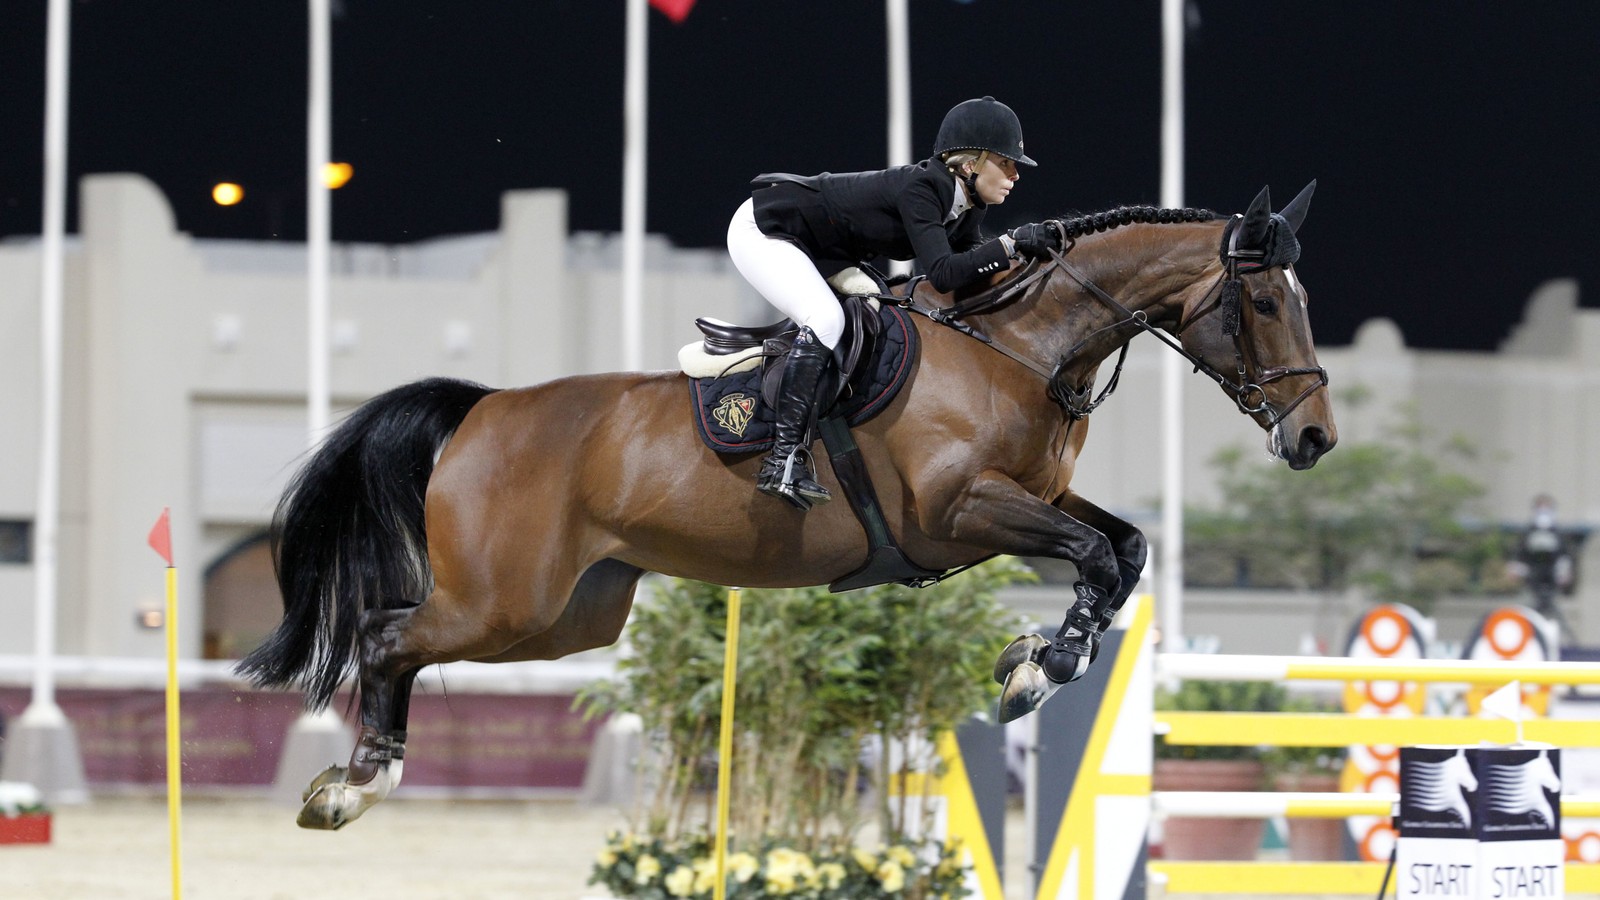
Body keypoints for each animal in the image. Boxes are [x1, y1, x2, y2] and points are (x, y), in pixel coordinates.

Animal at [240, 182, 1337, 826]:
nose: (1315, 440)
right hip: (503, 601)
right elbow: (1098, 556)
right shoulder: (960, 511)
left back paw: (360, 778)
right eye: (1266, 301)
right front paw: (1041, 669)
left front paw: (1035, 658)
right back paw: (356, 781)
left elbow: (1125, 549)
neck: (1019, 345)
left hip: (565, 619)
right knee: (385, 636)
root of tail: (481, 409)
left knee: (408, 640)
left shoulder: (1034, 498)